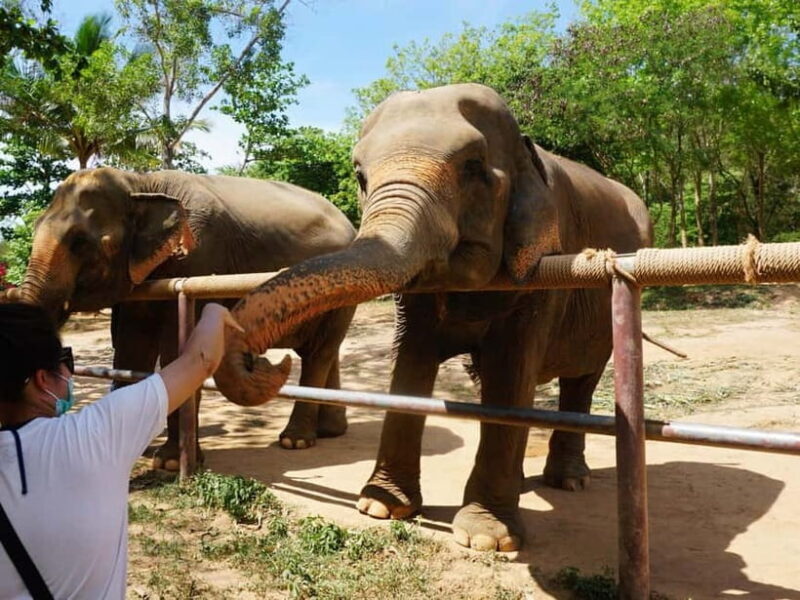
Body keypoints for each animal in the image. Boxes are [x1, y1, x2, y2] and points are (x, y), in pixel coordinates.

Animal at [16, 167, 357, 468]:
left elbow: (175, 350)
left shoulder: (200, 255)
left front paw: (168, 463)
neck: (139, 182)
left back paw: (294, 441)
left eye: (80, 242)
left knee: (319, 352)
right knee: (324, 351)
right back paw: (329, 432)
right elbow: (131, 350)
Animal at [213, 83, 653, 551]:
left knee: (581, 380)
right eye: (360, 177)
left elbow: (511, 371)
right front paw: (380, 507)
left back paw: (568, 481)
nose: (266, 360)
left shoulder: (543, 269)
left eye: (473, 168)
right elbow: (412, 362)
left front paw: (486, 540)